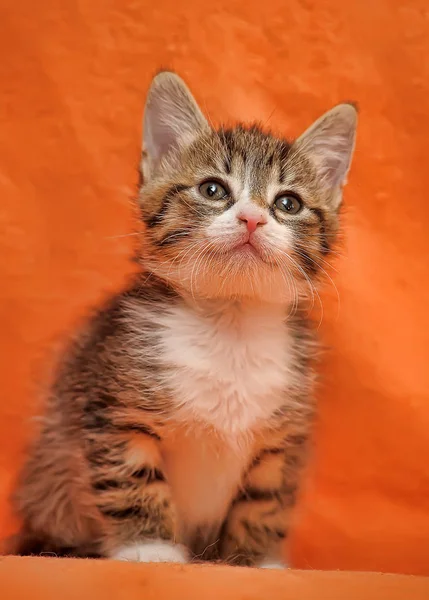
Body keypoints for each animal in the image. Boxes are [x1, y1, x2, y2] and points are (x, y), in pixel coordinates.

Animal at [10, 71, 356, 568]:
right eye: (213, 190)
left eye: (288, 203)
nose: (252, 219)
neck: (231, 323)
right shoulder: (113, 406)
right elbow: (131, 479)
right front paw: (149, 547)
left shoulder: (283, 437)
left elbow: (266, 500)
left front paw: (256, 561)